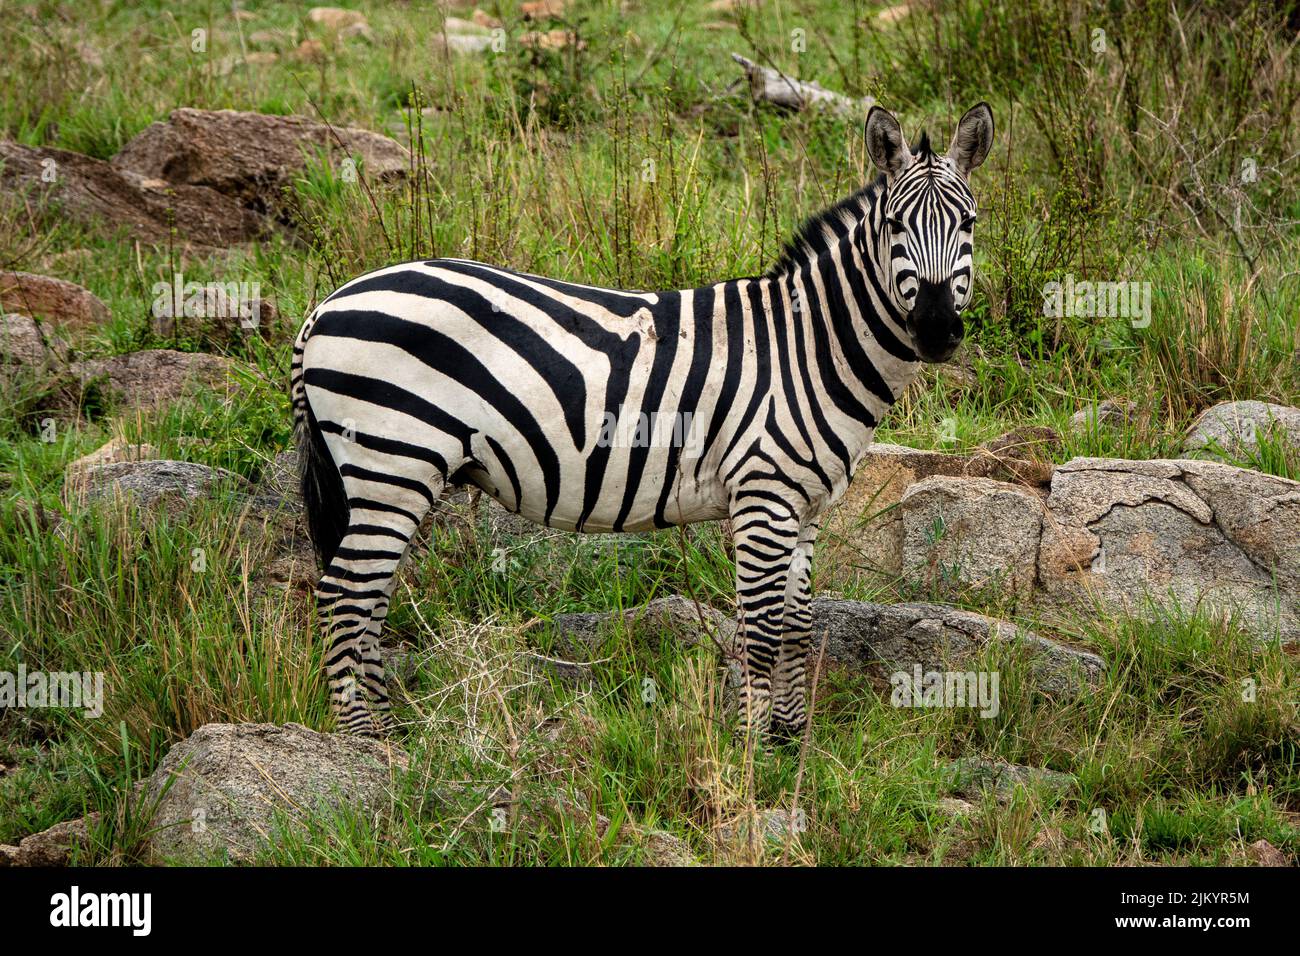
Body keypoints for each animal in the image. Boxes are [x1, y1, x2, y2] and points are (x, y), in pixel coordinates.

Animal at [289, 104, 987, 743]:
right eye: (895, 225)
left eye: (970, 223)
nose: (935, 330)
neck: (808, 347)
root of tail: (326, 303)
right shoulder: (763, 495)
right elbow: (760, 630)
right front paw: (751, 754)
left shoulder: (807, 503)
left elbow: (797, 625)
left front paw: (789, 744)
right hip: (392, 461)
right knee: (346, 596)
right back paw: (363, 746)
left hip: (382, 473)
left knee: (368, 598)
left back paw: (388, 731)